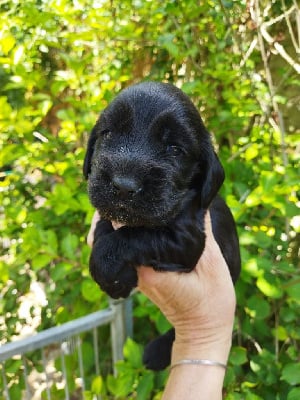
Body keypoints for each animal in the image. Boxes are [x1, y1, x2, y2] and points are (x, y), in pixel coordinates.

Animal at [82, 81, 241, 372]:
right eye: (107, 134)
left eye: (174, 149)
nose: (124, 186)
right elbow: (106, 226)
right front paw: (119, 277)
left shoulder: (188, 241)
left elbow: (136, 235)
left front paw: (109, 269)